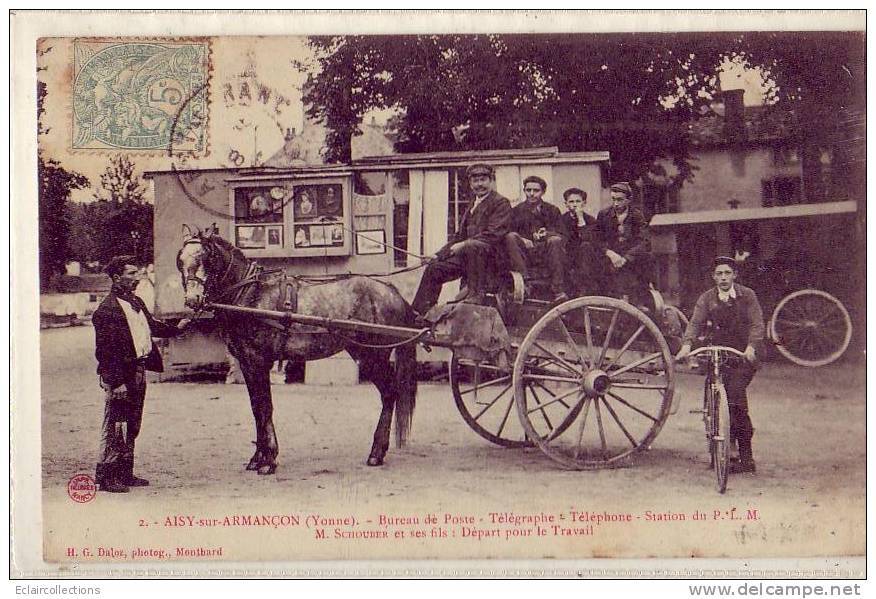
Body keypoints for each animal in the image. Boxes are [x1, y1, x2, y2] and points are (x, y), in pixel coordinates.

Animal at [176, 223, 420, 476]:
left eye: (208, 257)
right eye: (180, 260)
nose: (193, 299)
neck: (249, 294)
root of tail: (392, 291)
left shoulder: (258, 361)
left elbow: (265, 407)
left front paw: (268, 460)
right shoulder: (246, 363)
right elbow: (256, 407)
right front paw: (257, 458)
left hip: (374, 355)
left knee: (389, 393)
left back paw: (376, 452)